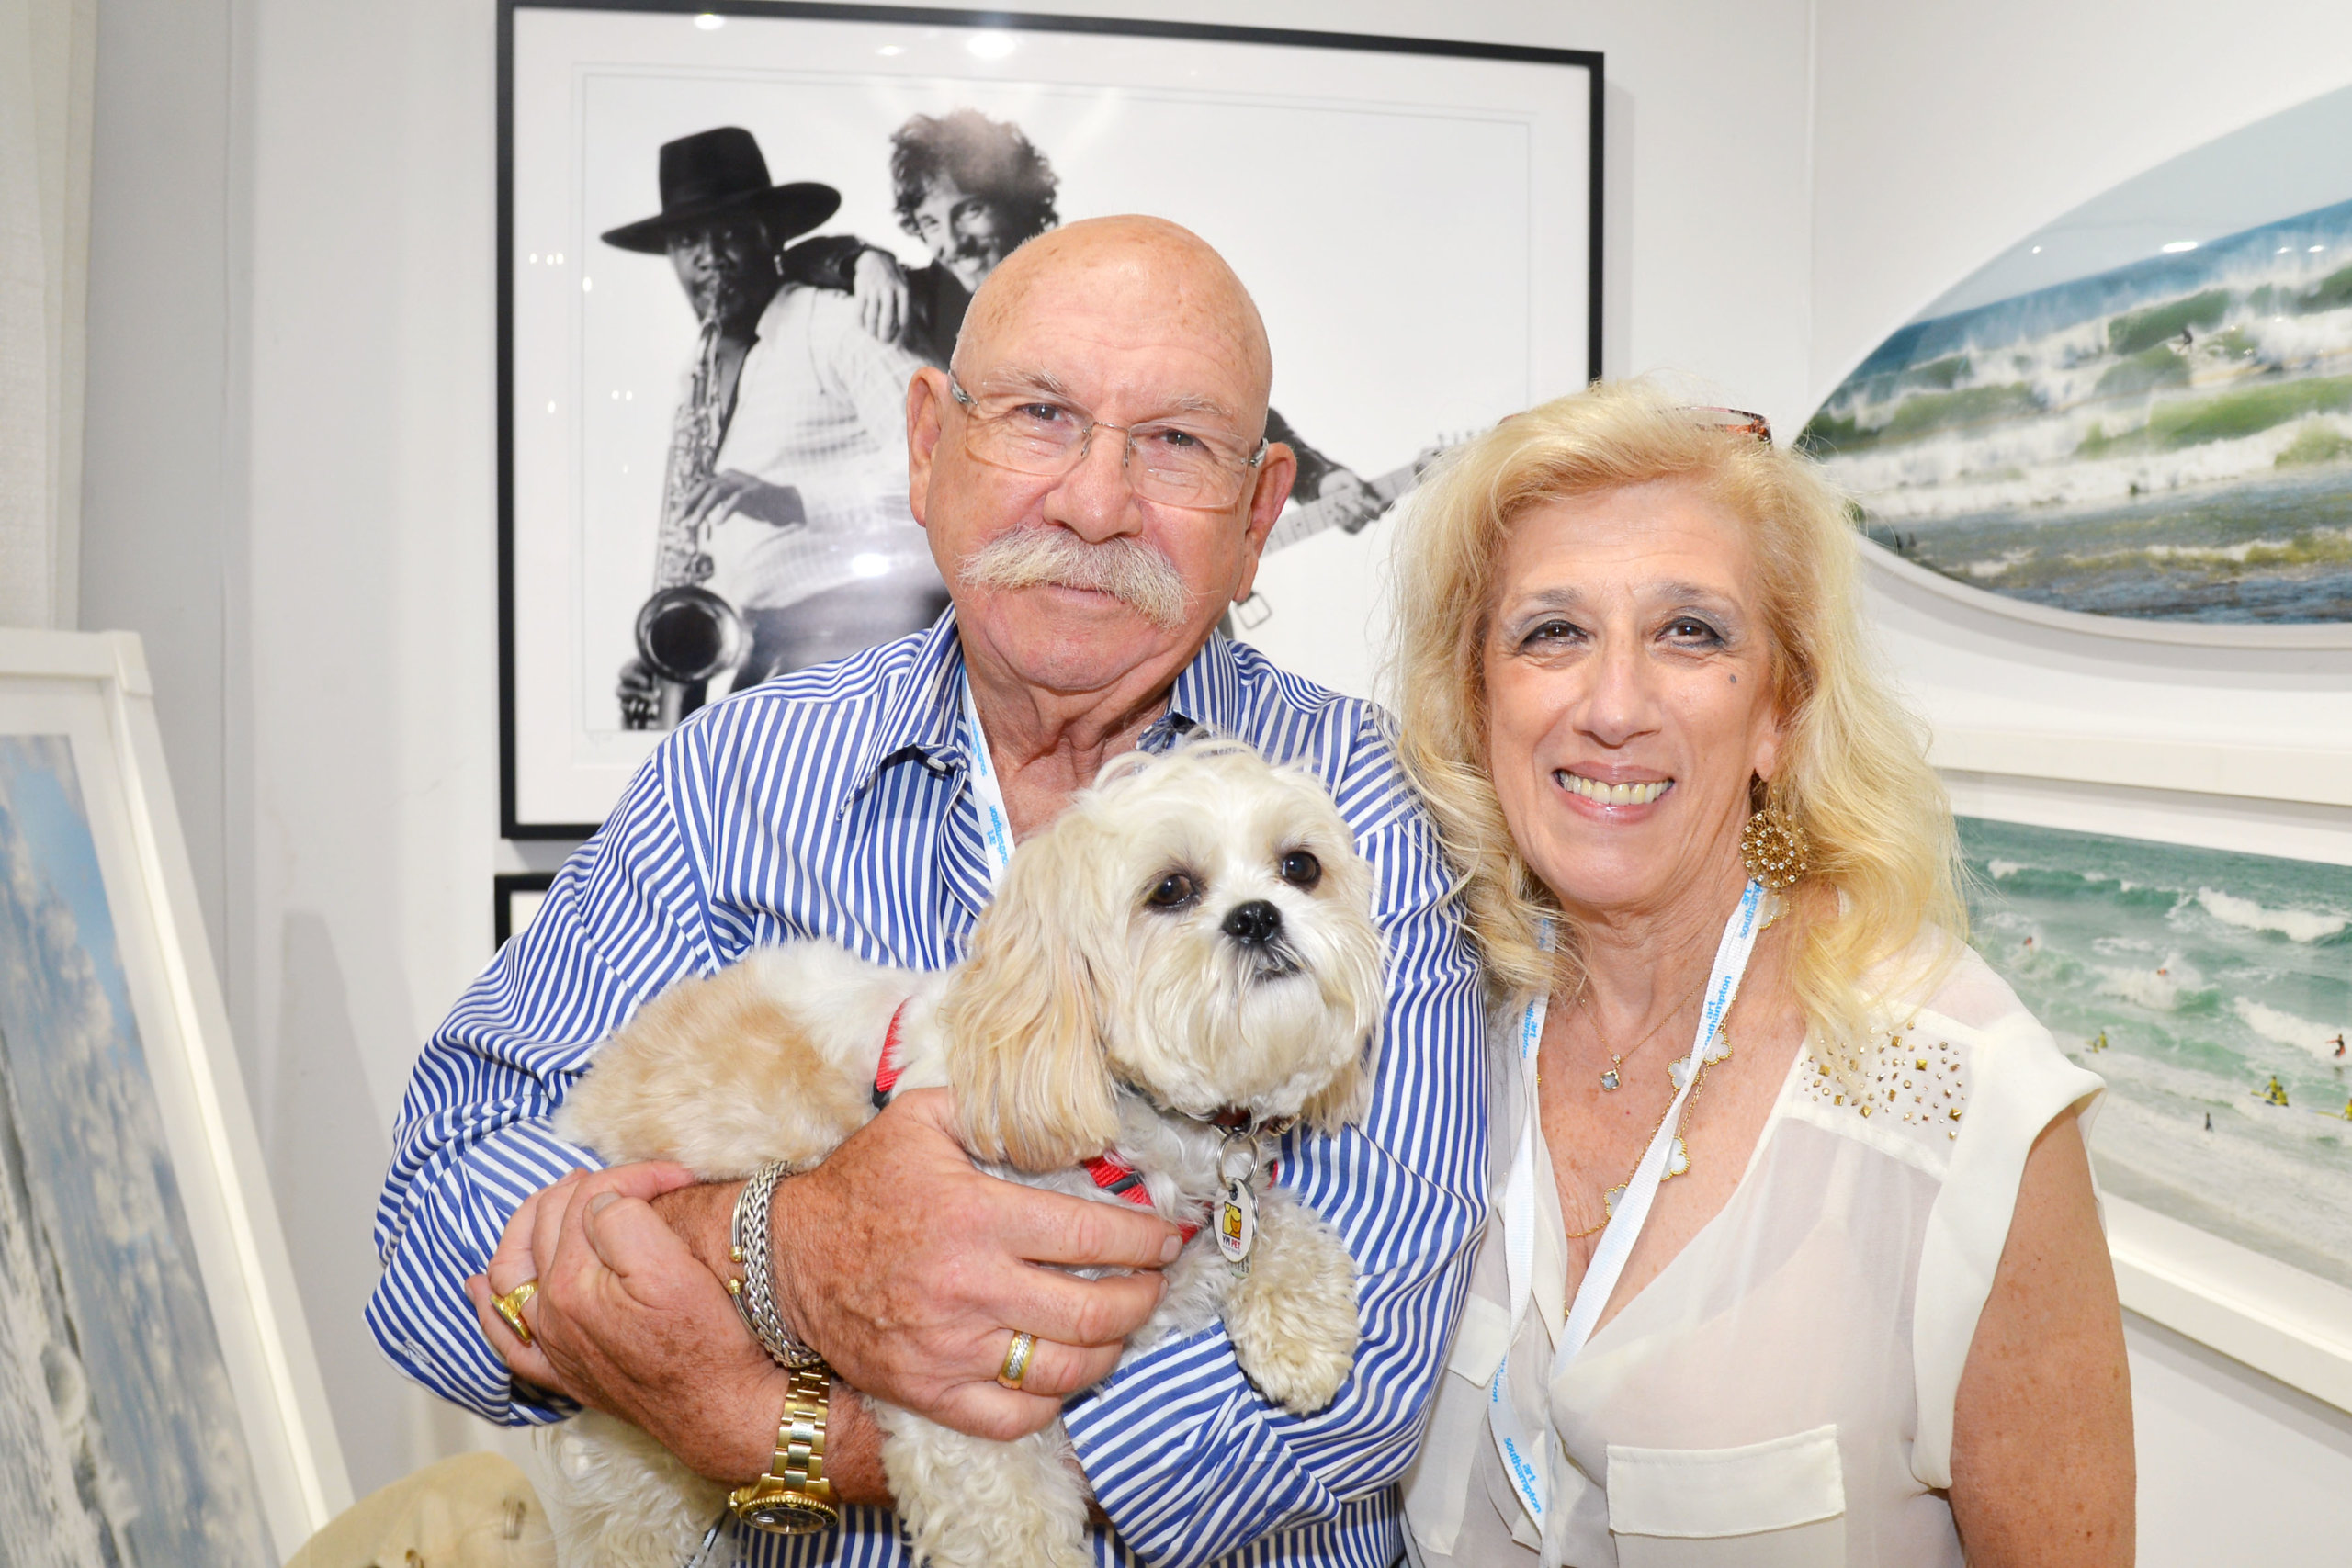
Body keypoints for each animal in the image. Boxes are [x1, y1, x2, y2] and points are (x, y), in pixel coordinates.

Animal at [540, 738, 1383, 1568]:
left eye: (1300, 866)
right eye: (1171, 888)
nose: (1258, 916)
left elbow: (1273, 1220)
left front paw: (1302, 1331)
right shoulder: (955, 1380)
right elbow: (1008, 1522)